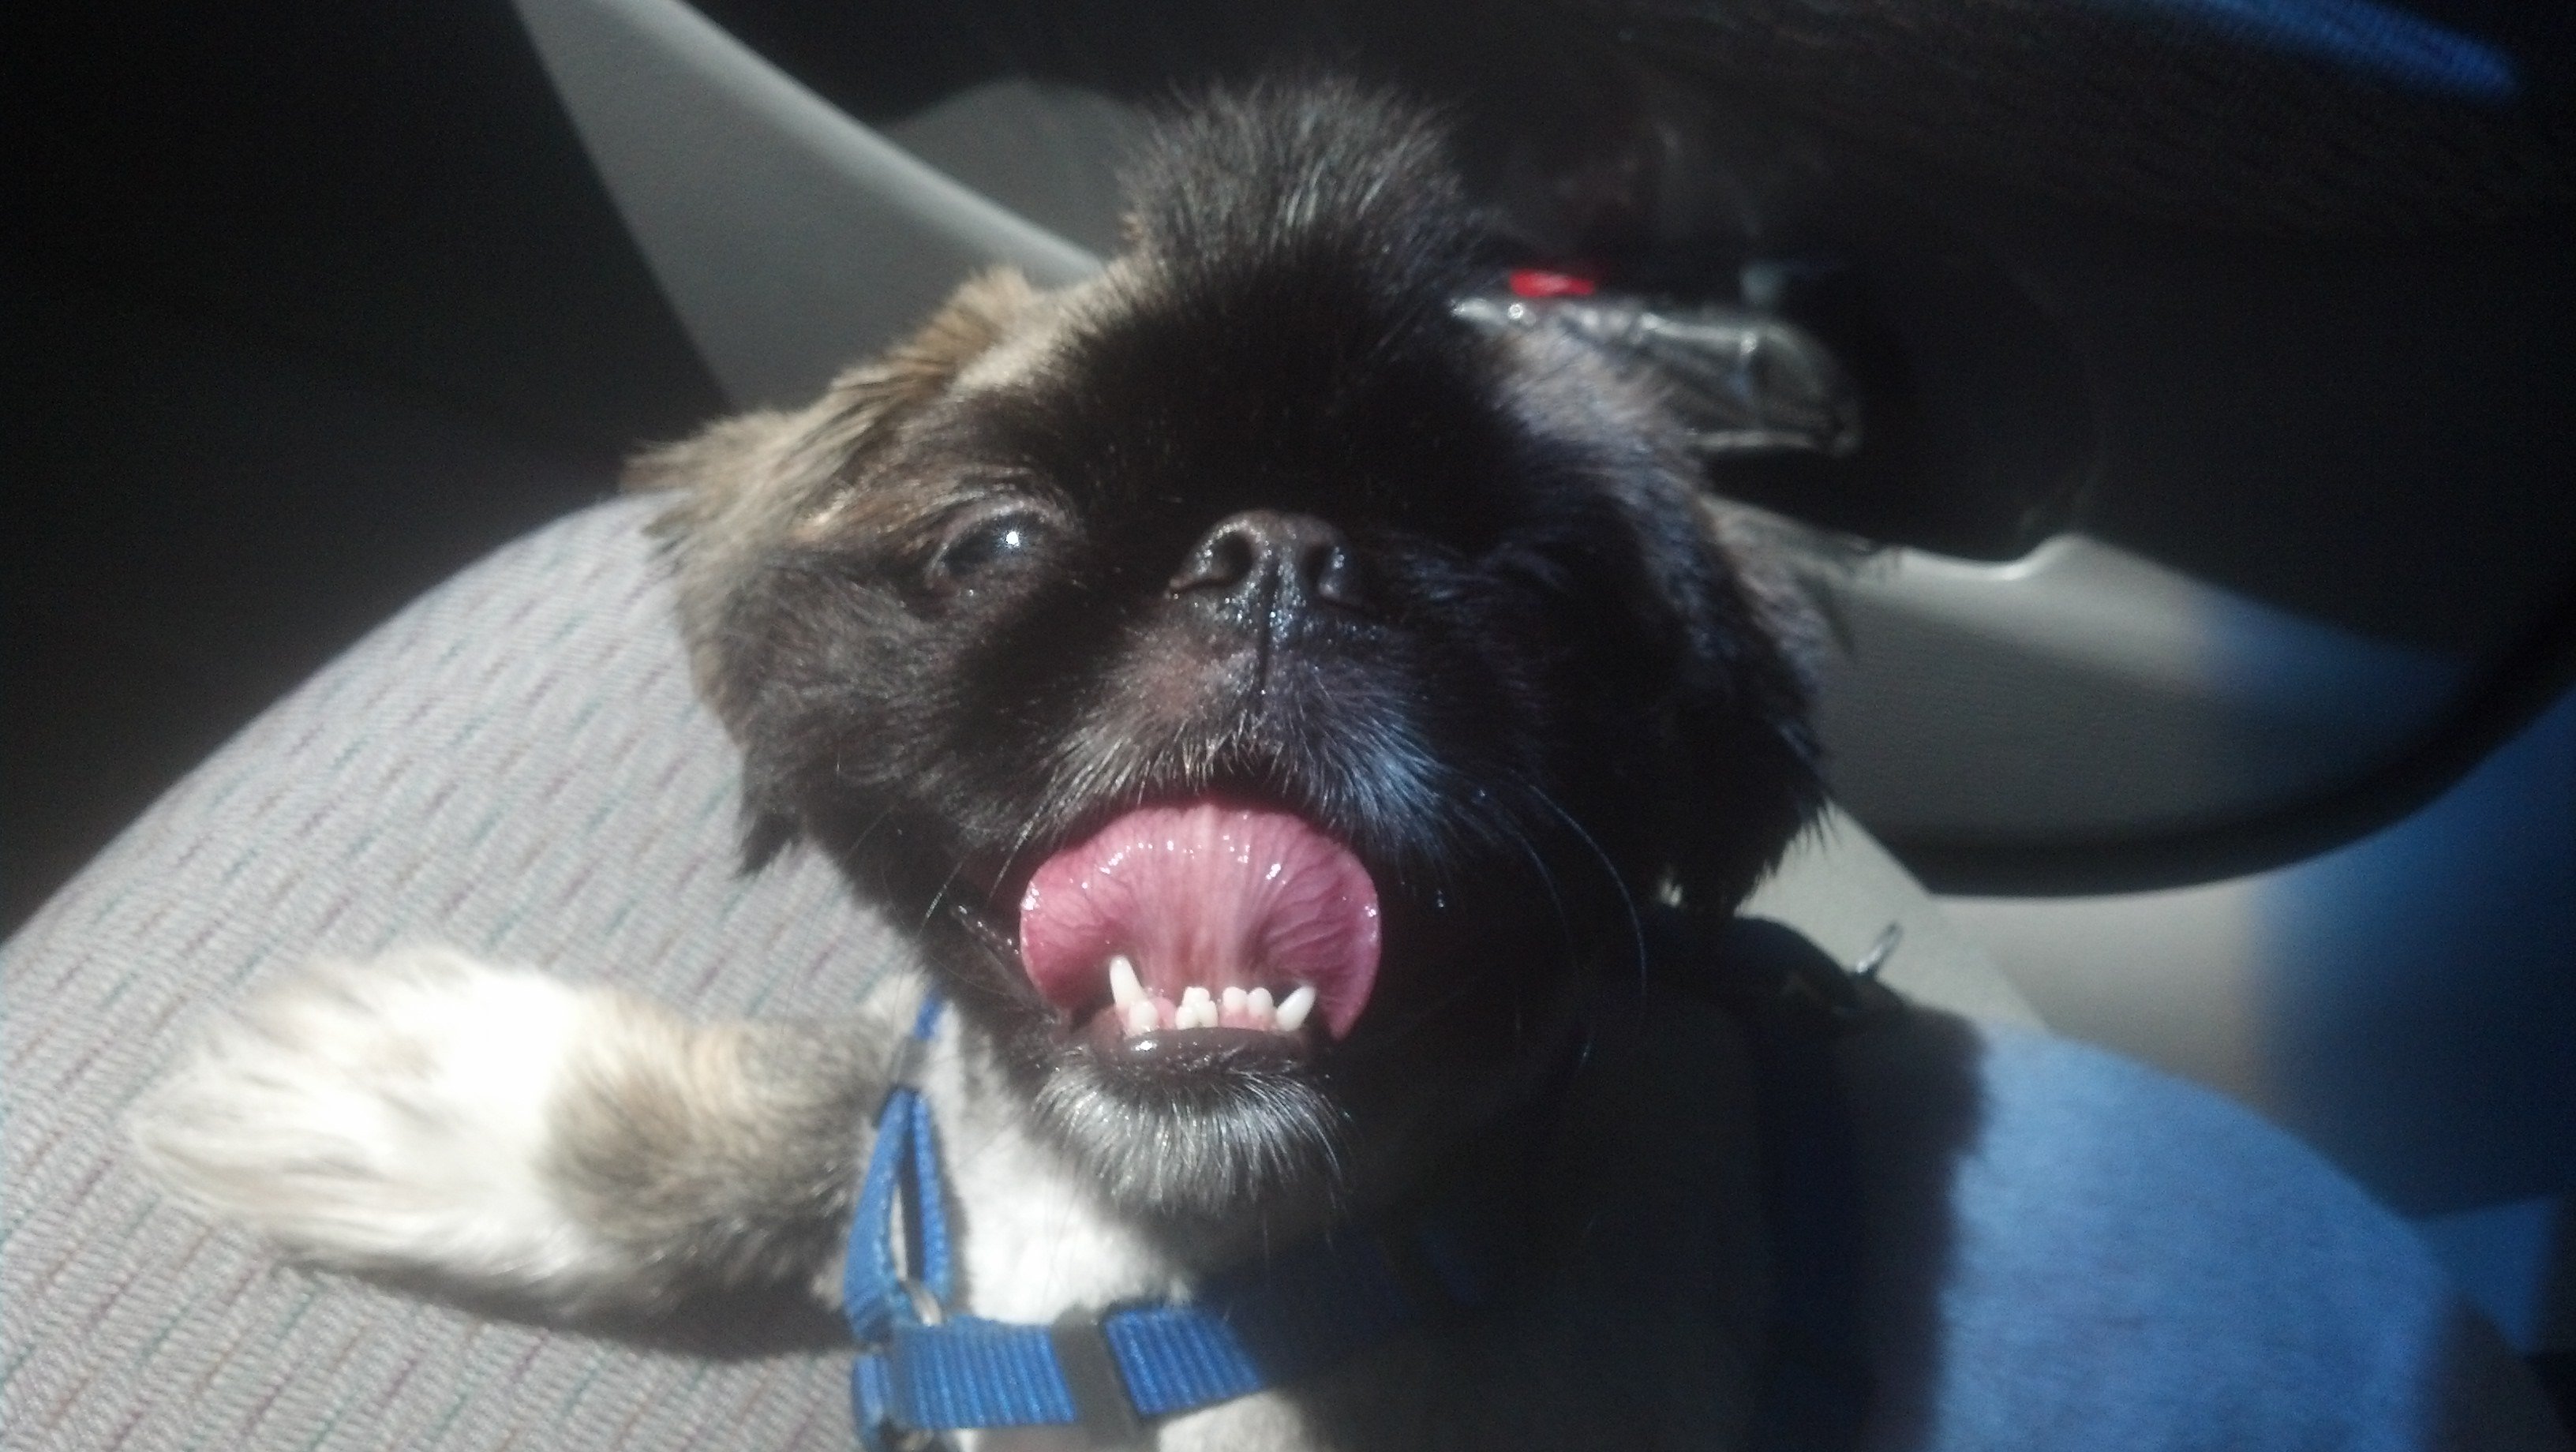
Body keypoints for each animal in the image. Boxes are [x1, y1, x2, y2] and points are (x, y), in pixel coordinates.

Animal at [130, 82, 2565, 1452]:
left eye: (1524, 580)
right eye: (997, 542)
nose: (1281, 560)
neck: (1160, 1283)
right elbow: (840, 1097)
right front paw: (420, 1097)